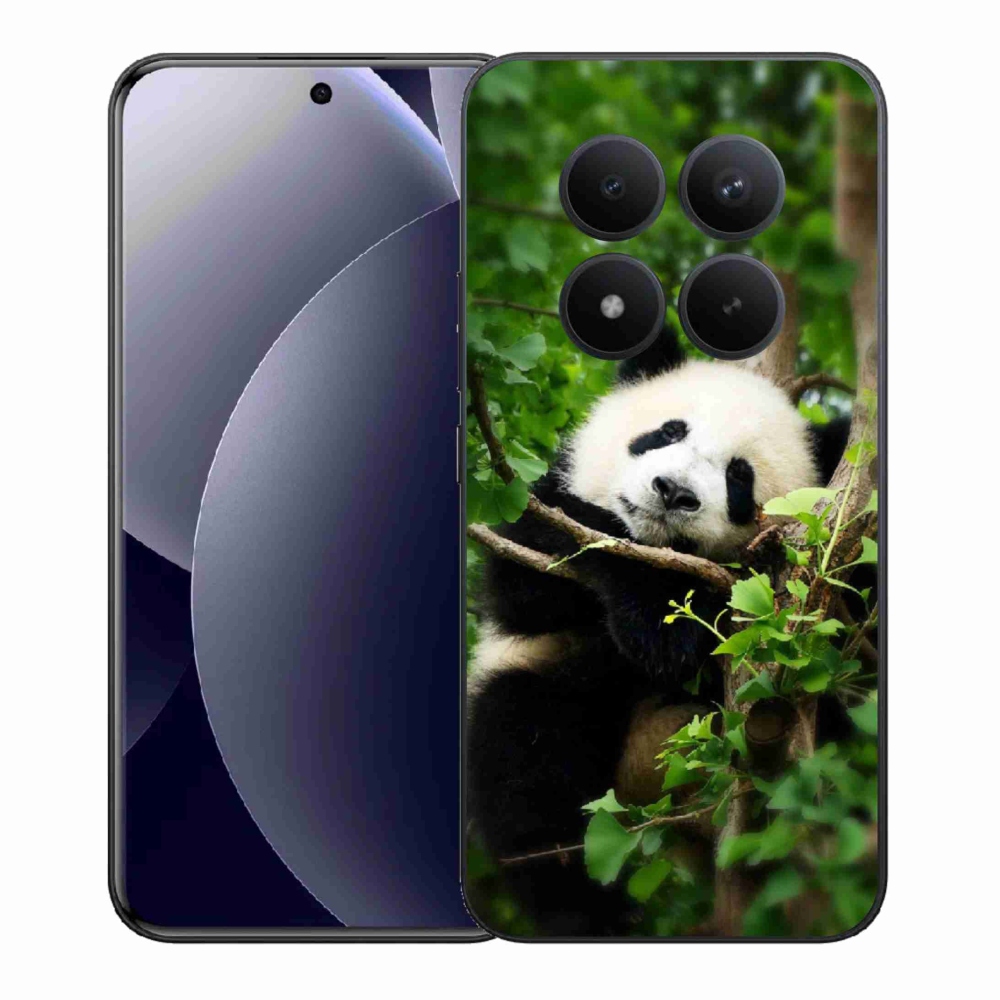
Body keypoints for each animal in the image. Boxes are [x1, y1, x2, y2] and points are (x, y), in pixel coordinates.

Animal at [466, 329, 849, 936]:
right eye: (669, 431)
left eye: (739, 477)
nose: (672, 492)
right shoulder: (533, 522)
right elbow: (528, 582)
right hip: (551, 698)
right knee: (529, 770)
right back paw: (589, 910)